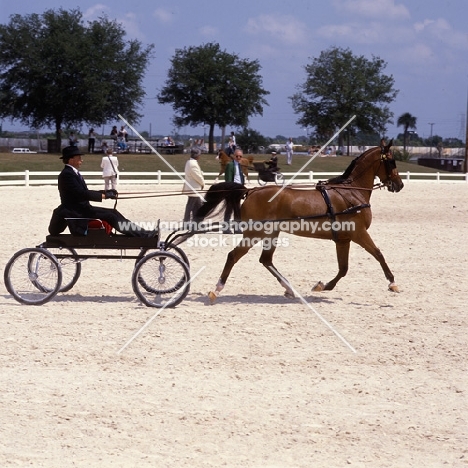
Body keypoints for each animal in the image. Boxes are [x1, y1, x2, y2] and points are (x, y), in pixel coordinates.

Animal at [196, 142, 404, 304]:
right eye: (391, 161)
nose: (399, 184)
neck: (351, 192)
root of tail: (251, 191)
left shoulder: (343, 239)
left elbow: (343, 268)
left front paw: (322, 286)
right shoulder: (359, 233)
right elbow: (378, 255)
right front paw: (393, 283)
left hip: (271, 233)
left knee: (266, 260)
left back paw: (289, 289)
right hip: (255, 233)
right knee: (234, 256)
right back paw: (216, 290)